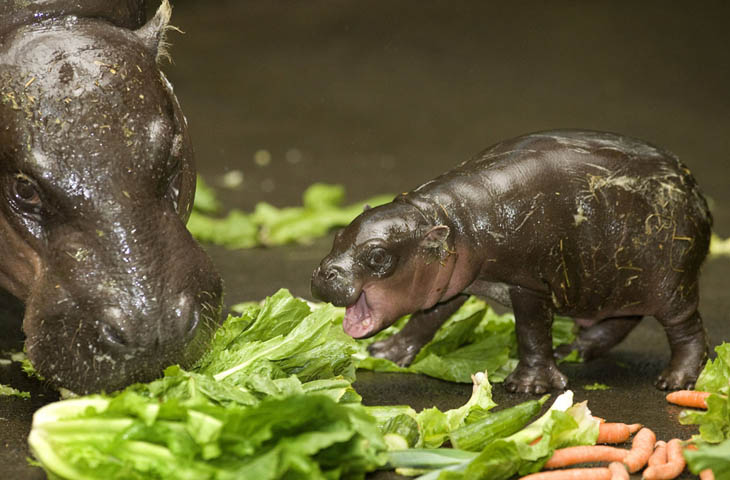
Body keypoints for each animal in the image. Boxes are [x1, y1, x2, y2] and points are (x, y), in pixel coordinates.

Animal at [310, 129, 708, 392]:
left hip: (672, 281)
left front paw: (528, 387)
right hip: (613, 283)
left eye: (378, 256)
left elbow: (530, 331)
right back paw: (571, 350)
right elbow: (425, 319)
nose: (325, 273)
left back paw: (676, 381)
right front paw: (387, 353)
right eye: (337, 235)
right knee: (620, 320)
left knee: (687, 328)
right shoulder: (450, 281)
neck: (451, 220)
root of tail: (697, 192)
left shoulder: (527, 283)